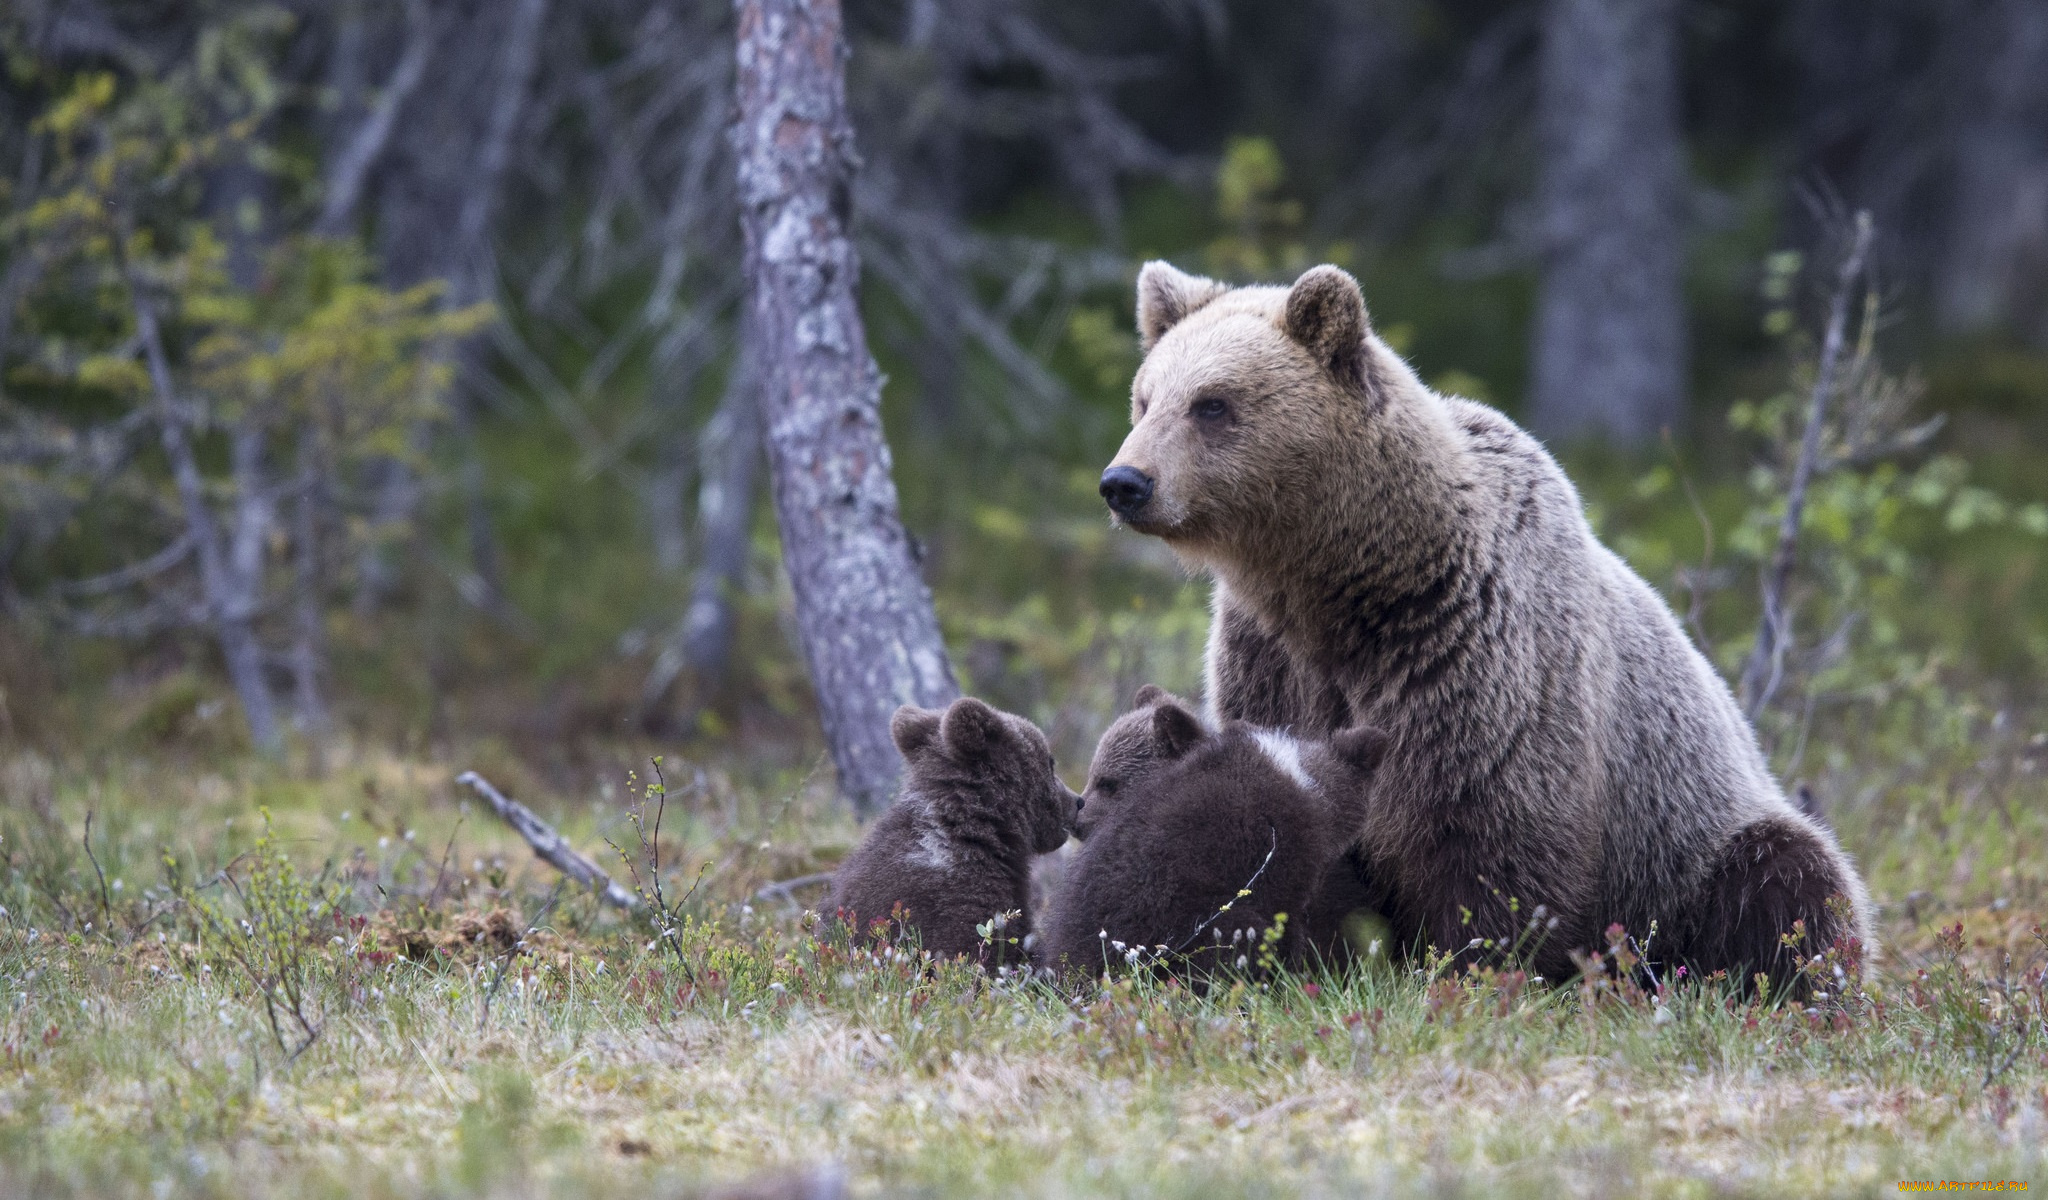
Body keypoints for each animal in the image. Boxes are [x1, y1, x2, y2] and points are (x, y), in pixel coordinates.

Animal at [1105, 262, 1875, 982]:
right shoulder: (1272, 660)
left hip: (1699, 844)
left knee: (1787, 882)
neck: (1349, 587)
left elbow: (1490, 842)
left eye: (1212, 403)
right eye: (1144, 398)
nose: (1124, 482)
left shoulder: (1478, 659)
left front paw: (1471, 970)